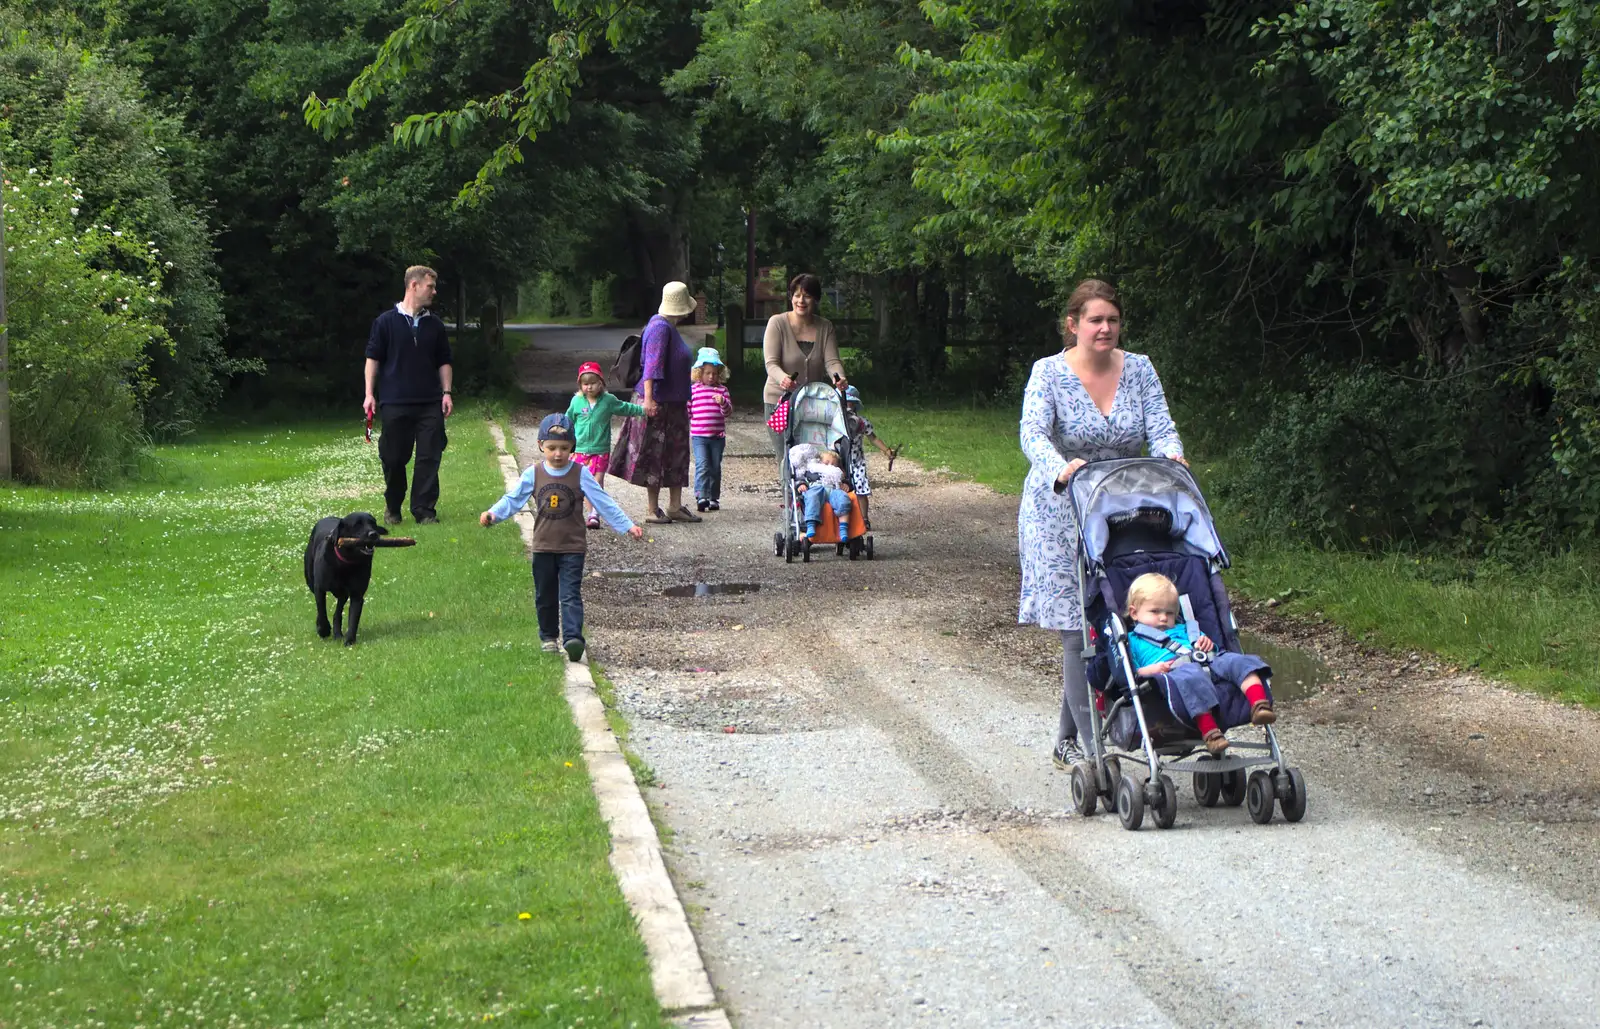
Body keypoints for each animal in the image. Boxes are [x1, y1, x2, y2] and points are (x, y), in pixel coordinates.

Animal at [308, 512, 390, 649]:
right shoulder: (319, 588)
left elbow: (353, 618)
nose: (373, 534)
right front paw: (323, 629)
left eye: (373, 523)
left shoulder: (357, 594)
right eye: (357, 525)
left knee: (337, 612)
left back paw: (338, 634)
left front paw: (350, 640)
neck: (345, 563)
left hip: (343, 594)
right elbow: (321, 610)